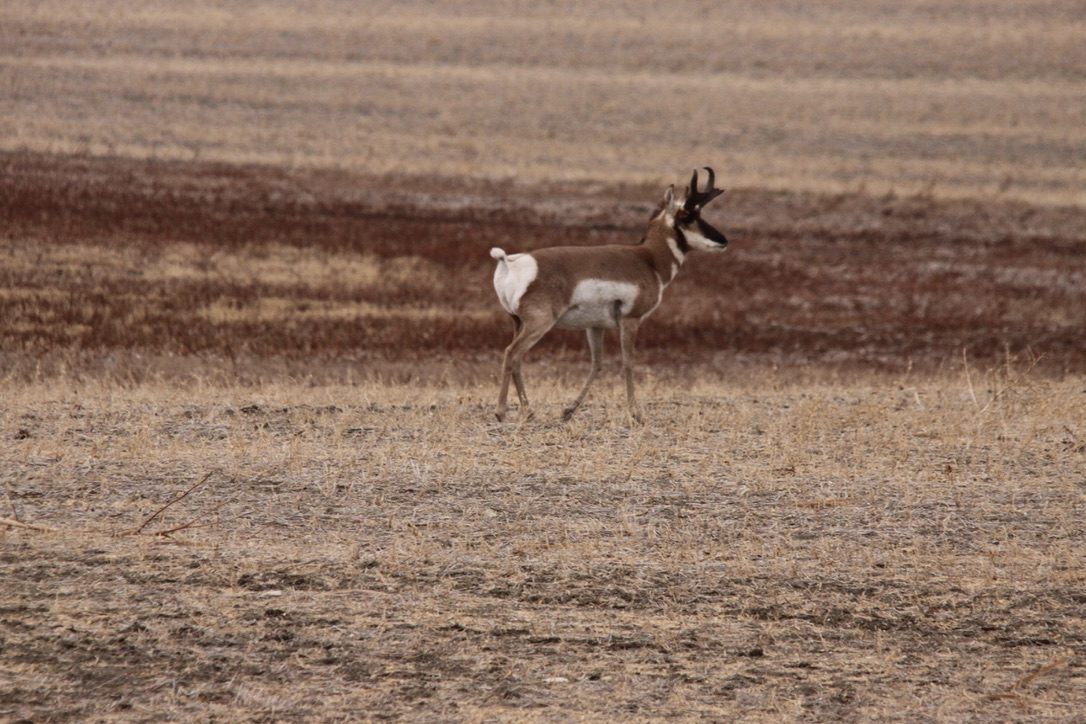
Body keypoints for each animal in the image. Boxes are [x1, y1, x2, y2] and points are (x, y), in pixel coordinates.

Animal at [493, 166, 729, 421]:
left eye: (700, 214)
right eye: (686, 216)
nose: (723, 241)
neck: (649, 259)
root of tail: (510, 261)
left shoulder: (595, 326)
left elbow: (597, 363)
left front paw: (569, 410)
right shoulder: (631, 320)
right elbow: (628, 361)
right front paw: (635, 412)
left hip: (517, 322)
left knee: (516, 359)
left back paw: (528, 412)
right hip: (539, 323)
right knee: (511, 353)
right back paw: (501, 412)